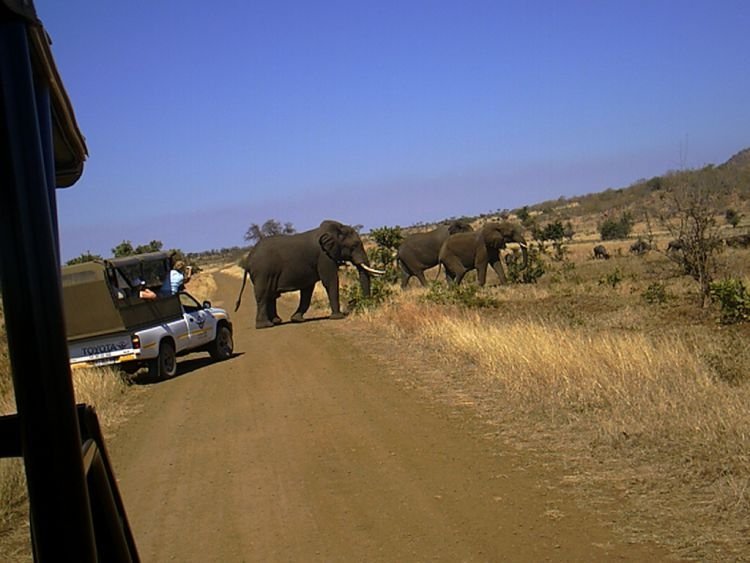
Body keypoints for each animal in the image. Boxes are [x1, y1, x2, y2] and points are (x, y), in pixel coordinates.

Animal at [235, 218, 384, 328]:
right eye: (354, 246)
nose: (362, 304)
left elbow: (307, 290)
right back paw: (265, 325)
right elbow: (330, 281)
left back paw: (276, 321)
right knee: (264, 295)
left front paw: (297, 320)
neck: (333, 232)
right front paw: (338, 317)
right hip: (263, 272)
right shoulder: (324, 257)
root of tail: (248, 258)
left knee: (271, 295)